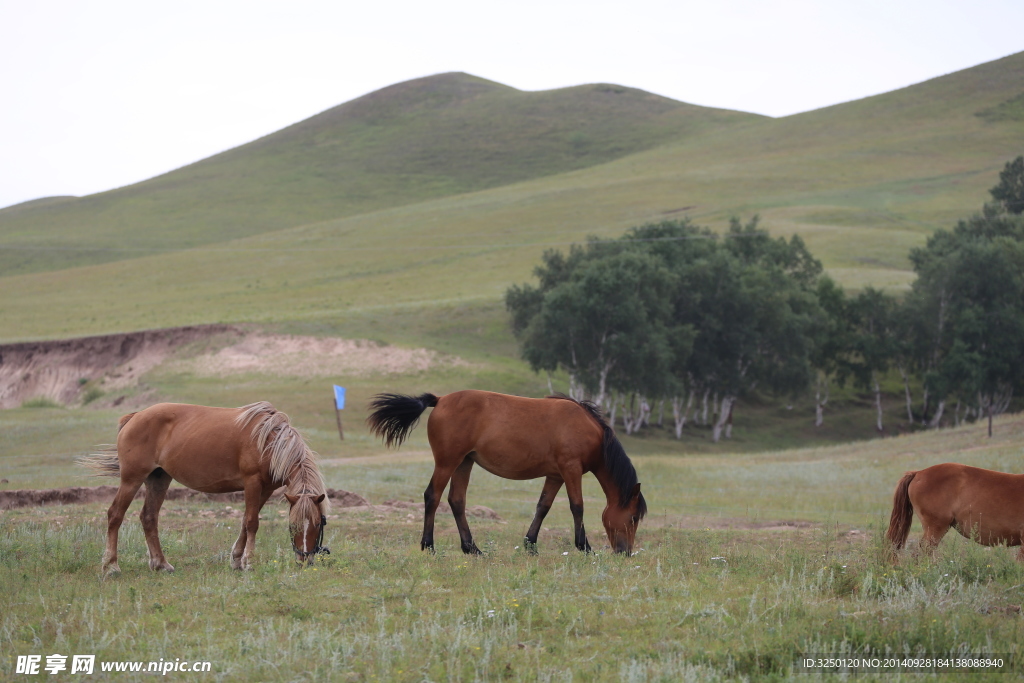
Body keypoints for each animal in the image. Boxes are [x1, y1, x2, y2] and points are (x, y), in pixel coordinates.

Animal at [78, 402, 329, 575]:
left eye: (318, 524)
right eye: (294, 526)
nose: (305, 561)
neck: (269, 440)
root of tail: (135, 416)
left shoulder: (265, 489)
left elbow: (245, 521)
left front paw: (236, 560)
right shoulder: (252, 483)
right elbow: (252, 522)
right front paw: (248, 562)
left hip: (158, 479)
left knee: (149, 517)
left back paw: (161, 564)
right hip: (132, 479)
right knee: (115, 515)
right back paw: (111, 566)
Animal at [366, 390, 647, 555]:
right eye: (633, 517)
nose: (625, 552)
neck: (589, 431)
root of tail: (441, 399)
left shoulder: (555, 475)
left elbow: (543, 507)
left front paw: (530, 544)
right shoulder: (571, 469)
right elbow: (577, 506)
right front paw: (584, 546)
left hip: (464, 463)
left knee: (457, 501)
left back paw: (472, 548)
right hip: (447, 462)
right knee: (432, 497)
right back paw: (429, 545)